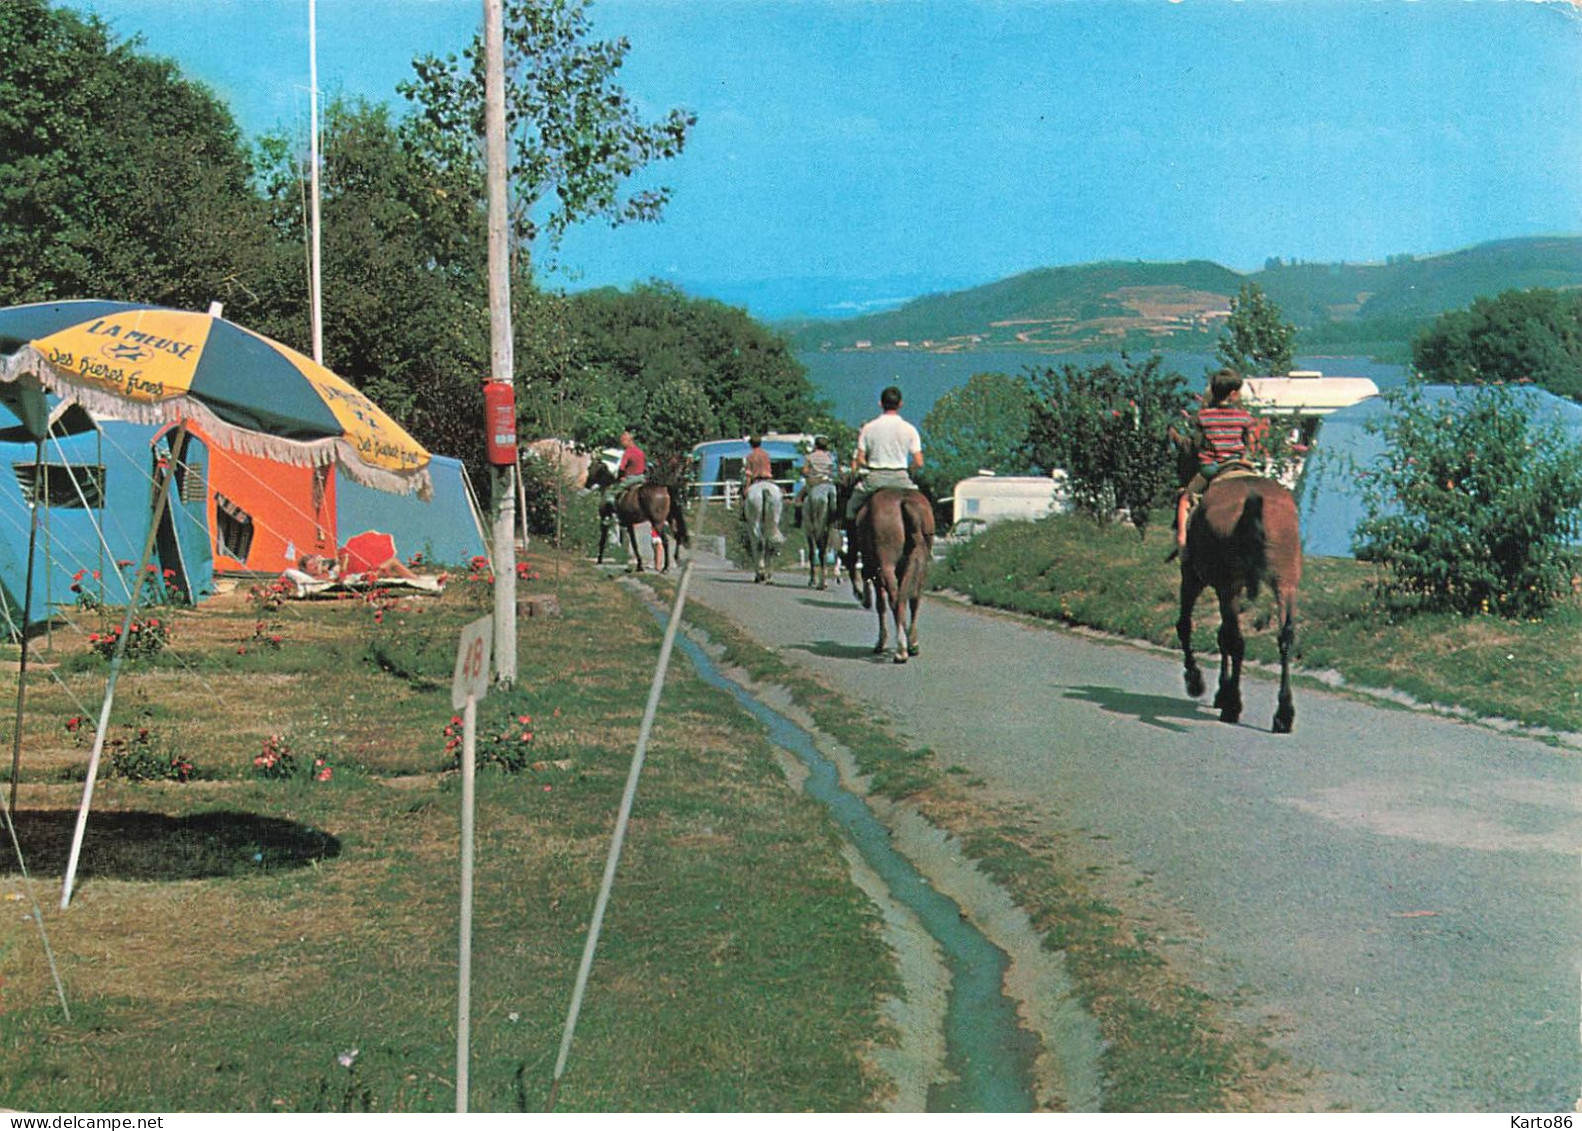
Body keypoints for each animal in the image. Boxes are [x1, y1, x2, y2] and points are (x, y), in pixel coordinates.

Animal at [847, 487, 930, 664]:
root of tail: (904, 501)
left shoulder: (876, 574)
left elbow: (880, 605)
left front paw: (881, 642)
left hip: (886, 567)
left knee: (895, 600)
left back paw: (901, 650)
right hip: (921, 567)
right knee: (914, 599)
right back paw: (912, 643)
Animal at [1183, 468, 1303, 733]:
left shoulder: (1193, 577)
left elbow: (1187, 627)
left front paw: (1196, 681)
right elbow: (1221, 636)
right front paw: (1220, 691)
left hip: (1227, 585)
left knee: (1235, 640)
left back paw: (1233, 706)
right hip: (1285, 581)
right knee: (1285, 637)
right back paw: (1283, 714)